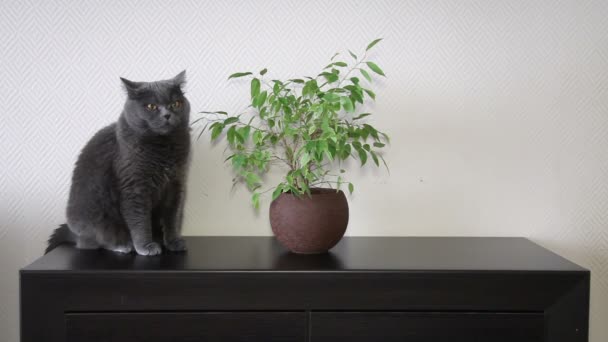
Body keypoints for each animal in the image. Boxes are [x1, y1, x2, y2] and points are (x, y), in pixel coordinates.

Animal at [45, 71, 190, 255]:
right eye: (151, 106)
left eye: (175, 103)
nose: (167, 114)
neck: (163, 147)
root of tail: (74, 233)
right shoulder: (134, 188)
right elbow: (139, 221)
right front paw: (145, 247)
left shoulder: (176, 184)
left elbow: (173, 218)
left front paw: (173, 242)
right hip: (97, 218)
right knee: (95, 240)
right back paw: (122, 246)